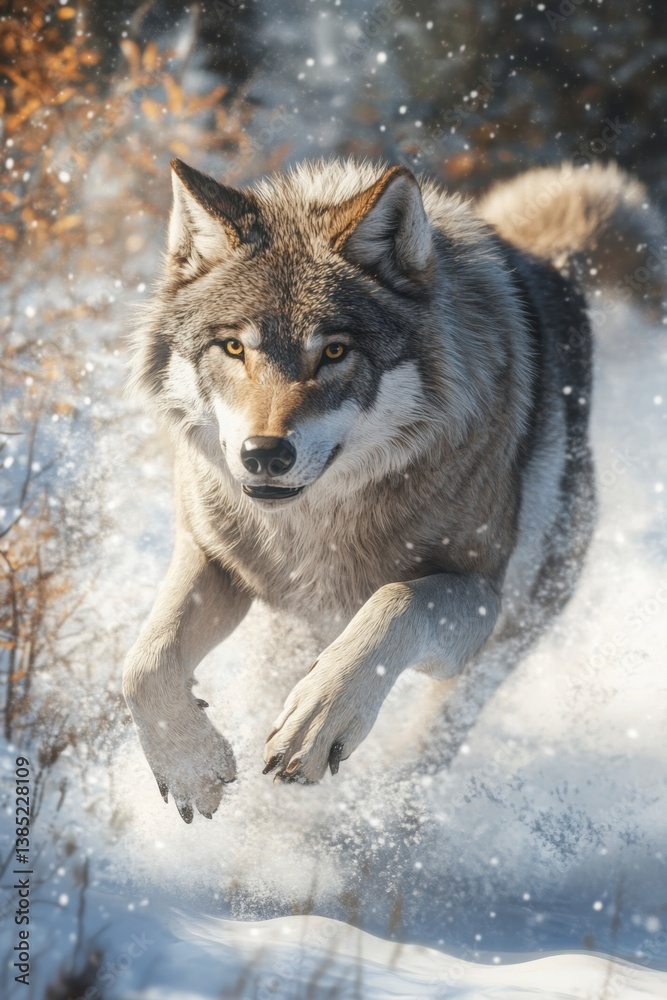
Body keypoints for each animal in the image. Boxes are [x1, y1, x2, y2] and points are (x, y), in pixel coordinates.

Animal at [123, 156, 664, 823]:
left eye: (334, 351)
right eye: (233, 347)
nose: (265, 454)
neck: (320, 525)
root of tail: (551, 259)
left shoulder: (478, 595)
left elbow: (395, 602)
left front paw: (319, 719)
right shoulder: (217, 558)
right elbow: (142, 666)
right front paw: (191, 767)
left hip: (500, 642)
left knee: (431, 741)